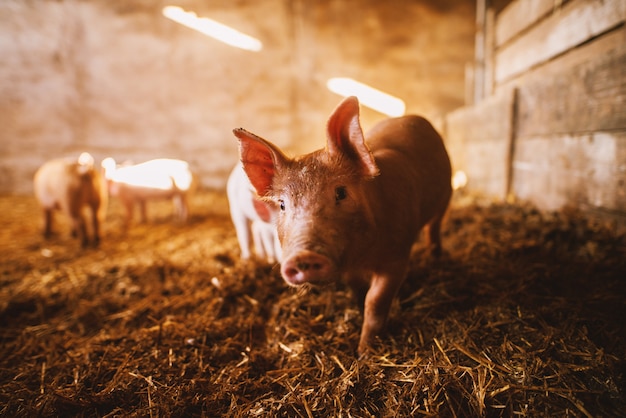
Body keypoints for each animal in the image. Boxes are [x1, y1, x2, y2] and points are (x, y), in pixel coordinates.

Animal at [232, 96, 450, 354]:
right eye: (282, 204)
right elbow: (359, 292)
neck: (362, 257)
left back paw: (435, 258)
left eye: (341, 192)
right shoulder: (351, 269)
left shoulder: (397, 256)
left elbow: (375, 301)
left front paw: (364, 353)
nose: (303, 256)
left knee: (434, 227)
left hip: (446, 196)